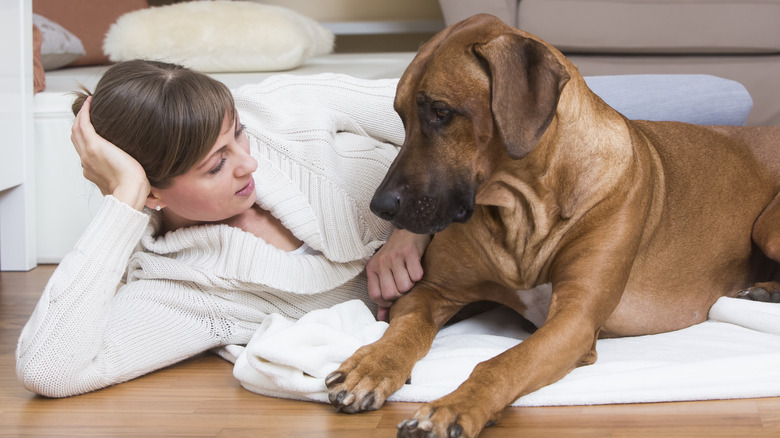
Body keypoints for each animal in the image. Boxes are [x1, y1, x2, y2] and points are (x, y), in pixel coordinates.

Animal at [324, 13, 780, 438]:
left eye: (441, 112)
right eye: (401, 116)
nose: (380, 206)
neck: (524, 208)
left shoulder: (575, 318)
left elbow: (501, 363)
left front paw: (451, 408)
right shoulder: (434, 290)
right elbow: (406, 329)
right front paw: (372, 365)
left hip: (767, 230)